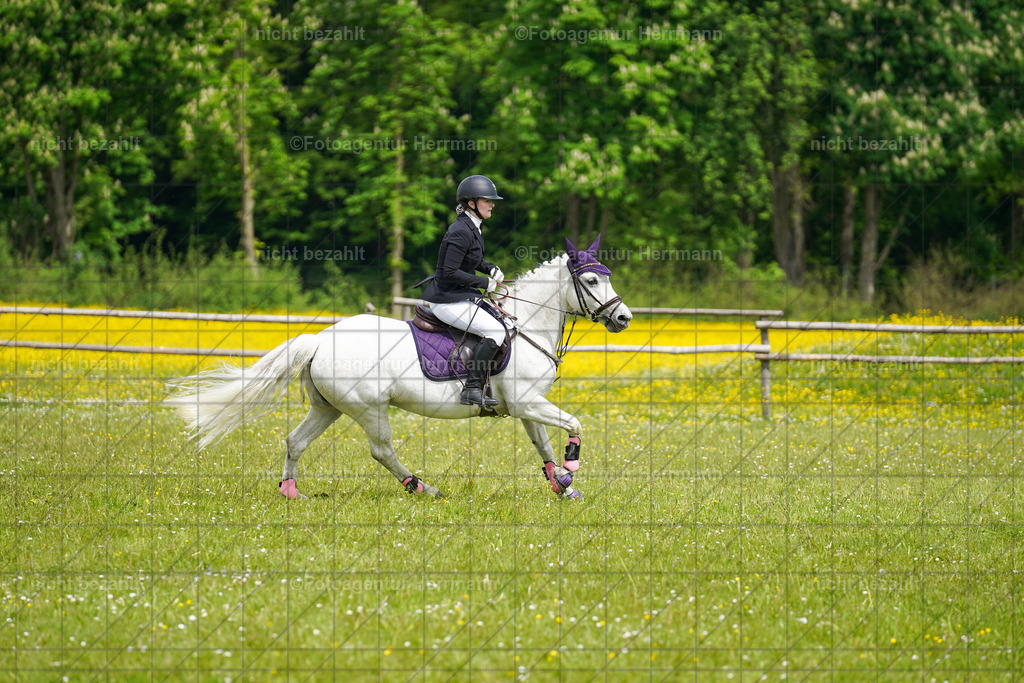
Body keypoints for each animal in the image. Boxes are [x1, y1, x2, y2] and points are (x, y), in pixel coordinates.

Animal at [165, 236, 632, 500]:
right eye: (591, 281)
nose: (623, 318)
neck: (527, 324)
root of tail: (319, 339)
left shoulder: (527, 405)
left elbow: (543, 446)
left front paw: (561, 486)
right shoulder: (526, 402)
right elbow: (573, 426)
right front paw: (571, 470)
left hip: (327, 407)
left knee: (295, 441)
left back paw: (291, 493)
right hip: (368, 408)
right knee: (382, 450)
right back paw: (421, 487)